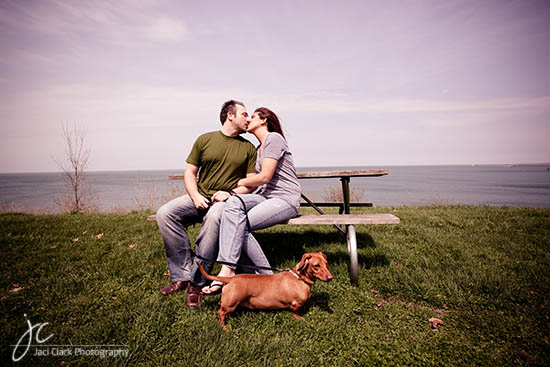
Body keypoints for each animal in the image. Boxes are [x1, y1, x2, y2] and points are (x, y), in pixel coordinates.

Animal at [199, 253, 334, 330]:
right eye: (316, 266)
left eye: (326, 263)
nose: (330, 277)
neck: (299, 278)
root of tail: (231, 279)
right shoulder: (295, 305)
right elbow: (296, 313)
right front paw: (302, 319)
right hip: (231, 304)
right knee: (220, 313)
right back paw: (224, 327)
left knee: (220, 305)